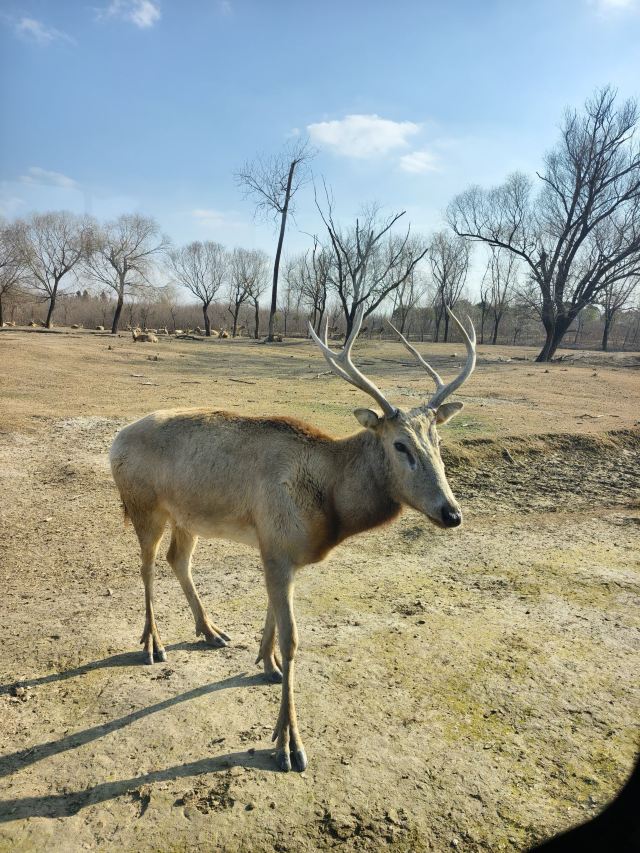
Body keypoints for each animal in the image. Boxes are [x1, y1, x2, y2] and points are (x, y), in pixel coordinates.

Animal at [110, 306, 476, 773]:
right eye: (399, 445)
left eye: (438, 441)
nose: (452, 513)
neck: (329, 509)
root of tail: (115, 439)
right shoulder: (279, 546)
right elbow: (294, 639)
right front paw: (288, 744)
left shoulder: (279, 549)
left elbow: (271, 618)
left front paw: (266, 664)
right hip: (143, 506)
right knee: (146, 566)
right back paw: (152, 645)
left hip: (186, 517)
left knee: (179, 560)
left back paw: (211, 631)